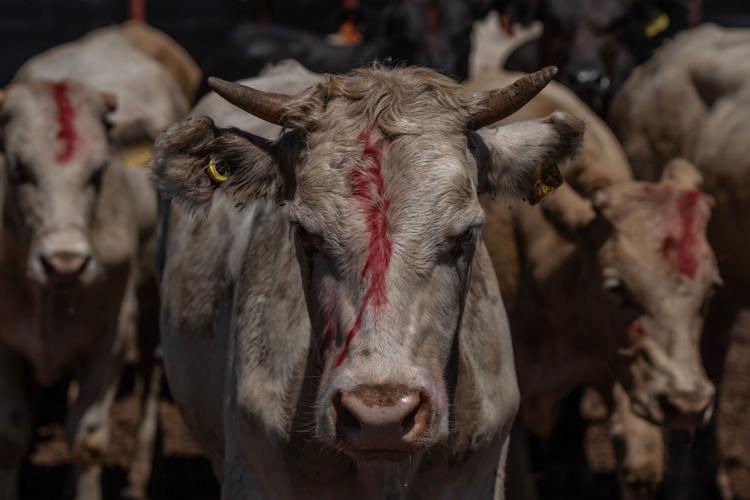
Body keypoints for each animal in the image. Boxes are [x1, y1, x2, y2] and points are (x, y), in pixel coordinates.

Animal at [0, 25, 190, 500]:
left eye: (99, 170)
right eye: (18, 169)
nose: (65, 263)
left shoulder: (111, 334)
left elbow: (87, 438)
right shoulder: (6, 342)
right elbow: (11, 437)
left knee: (150, 376)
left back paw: (143, 474)